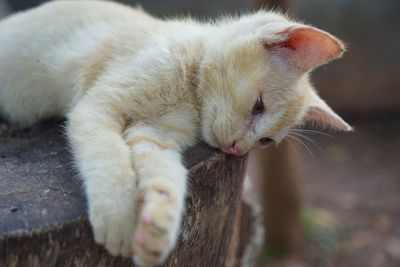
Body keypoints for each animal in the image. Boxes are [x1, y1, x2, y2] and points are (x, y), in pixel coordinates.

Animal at [0, 1, 350, 266]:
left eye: (266, 142)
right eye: (258, 106)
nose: (238, 148)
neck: (189, 91)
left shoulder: (154, 134)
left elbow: (167, 175)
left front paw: (157, 228)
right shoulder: (98, 107)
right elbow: (109, 156)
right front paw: (118, 215)